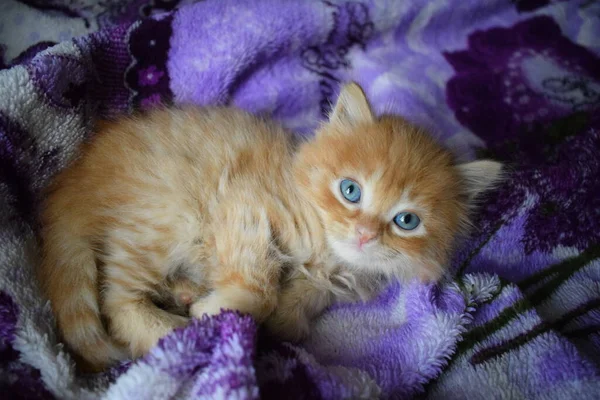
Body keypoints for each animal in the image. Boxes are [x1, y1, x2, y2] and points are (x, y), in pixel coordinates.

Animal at [35, 83, 500, 374]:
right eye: (350, 191)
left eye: (406, 221)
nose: (365, 234)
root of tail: (75, 179)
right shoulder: (243, 206)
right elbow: (258, 289)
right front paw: (220, 309)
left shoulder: (333, 282)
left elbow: (298, 305)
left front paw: (283, 316)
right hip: (165, 216)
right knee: (117, 302)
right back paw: (179, 334)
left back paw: (185, 293)